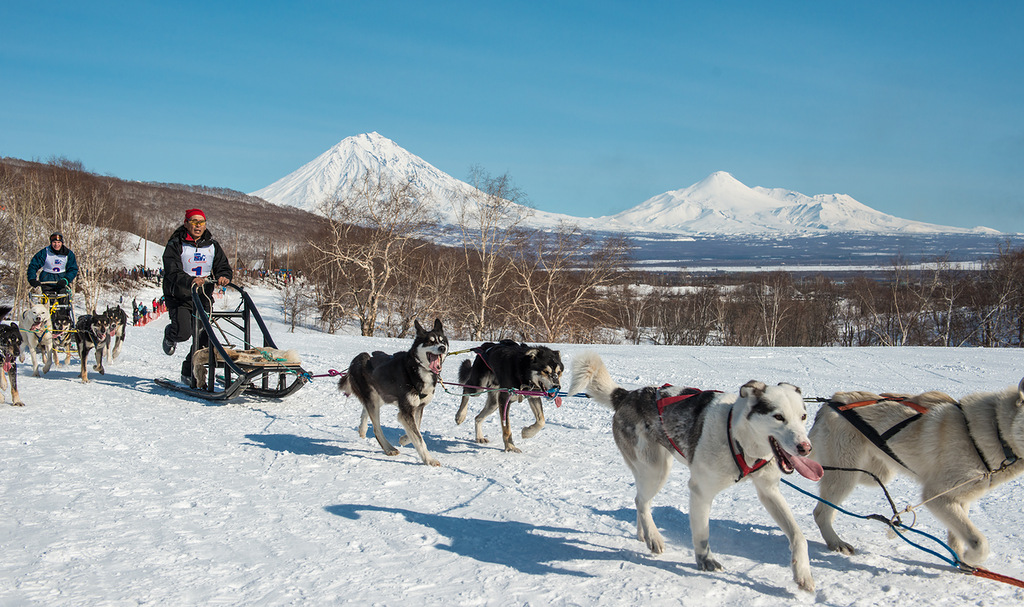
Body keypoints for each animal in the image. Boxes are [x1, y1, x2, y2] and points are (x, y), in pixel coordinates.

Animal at [339, 319, 448, 466]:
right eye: (430, 342)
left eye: (442, 341)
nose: (442, 348)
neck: (416, 369)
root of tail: (356, 360)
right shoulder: (407, 410)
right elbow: (419, 438)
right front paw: (429, 460)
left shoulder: (418, 408)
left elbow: (417, 429)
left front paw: (404, 439)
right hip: (374, 399)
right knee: (376, 428)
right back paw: (389, 448)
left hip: (379, 396)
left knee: (366, 410)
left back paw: (362, 429)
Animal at [569, 350, 823, 593]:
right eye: (778, 417)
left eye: (803, 416)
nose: (806, 447)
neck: (737, 437)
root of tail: (628, 395)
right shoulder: (701, 491)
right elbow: (702, 535)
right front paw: (705, 561)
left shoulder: (768, 491)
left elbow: (799, 536)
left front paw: (803, 574)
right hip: (655, 470)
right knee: (641, 501)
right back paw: (653, 537)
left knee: (641, 501)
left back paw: (645, 534)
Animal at [806, 384, 1024, 565]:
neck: (994, 430)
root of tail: (829, 404)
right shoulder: (935, 496)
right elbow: (980, 542)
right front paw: (971, 557)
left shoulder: (960, 498)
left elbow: (959, 538)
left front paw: (962, 562)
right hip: (845, 476)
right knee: (820, 513)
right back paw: (836, 542)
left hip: (872, 474)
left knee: (829, 508)